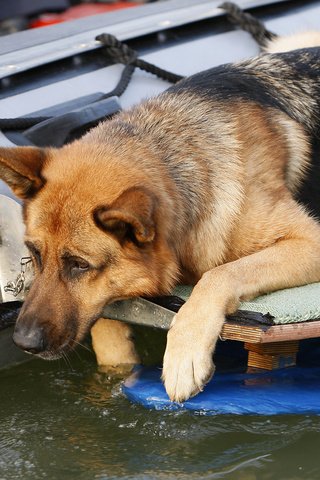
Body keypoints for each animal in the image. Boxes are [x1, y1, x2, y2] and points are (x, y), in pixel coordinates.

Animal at [0, 33, 320, 404]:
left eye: (79, 265)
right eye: (35, 255)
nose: (23, 342)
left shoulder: (310, 240)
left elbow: (218, 274)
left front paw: (184, 353)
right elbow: (105, 325)